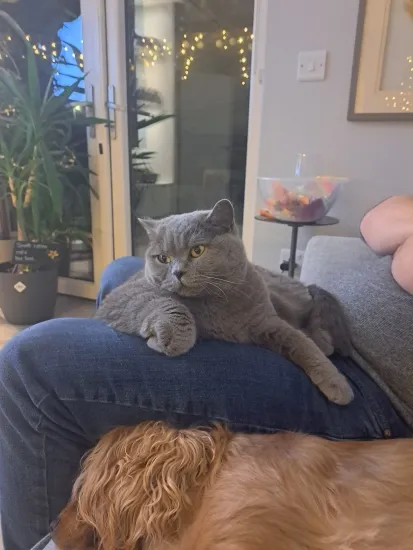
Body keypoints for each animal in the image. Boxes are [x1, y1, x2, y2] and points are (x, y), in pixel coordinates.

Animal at [96, 200, 353, 405]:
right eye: (163, 258)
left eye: (197, 251)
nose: (177, 273)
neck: (215, 303)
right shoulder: (122, 297)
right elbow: (169, 305)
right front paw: (171, 338)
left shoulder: (266, 321)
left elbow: (301, 344)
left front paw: (337, 384)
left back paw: (323, 340)